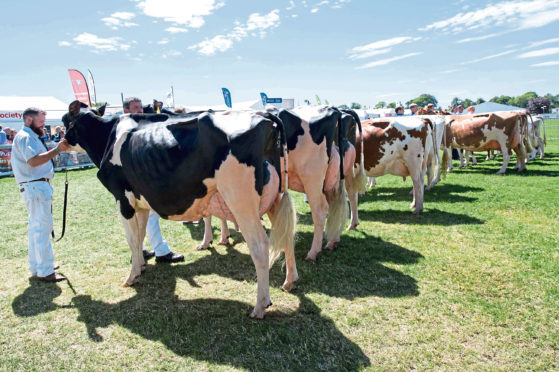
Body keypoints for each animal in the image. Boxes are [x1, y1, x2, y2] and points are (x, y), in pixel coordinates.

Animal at [62, 100, 298, 318]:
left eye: (66, 122)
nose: (60, 141)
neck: (107, 137)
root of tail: (264, 115)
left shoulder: (123, 199)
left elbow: (131, 239)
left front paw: (130, 277)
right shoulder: (141, 203)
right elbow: (139, 237)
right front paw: (140, 267)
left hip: (240, 200)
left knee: (260, 246)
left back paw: (260, 305)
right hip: (275, 196)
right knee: (286, 235)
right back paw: (289, 282)